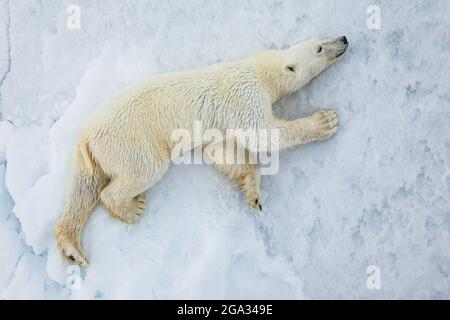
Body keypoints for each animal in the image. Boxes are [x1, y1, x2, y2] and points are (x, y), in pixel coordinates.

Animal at [55, 35, 348, 264]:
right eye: (319, 48)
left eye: (321, 38)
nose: (343, 39)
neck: (260, 71)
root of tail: (87, 137)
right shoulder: (245, 96)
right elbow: (262, 134)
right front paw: (325, 121)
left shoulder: (221, 124)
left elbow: (220, 151)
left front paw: (252, 193)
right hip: (130, 141)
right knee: (141, 171)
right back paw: (131, 208)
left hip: (94, 155)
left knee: (83, 187)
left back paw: (71, 247)